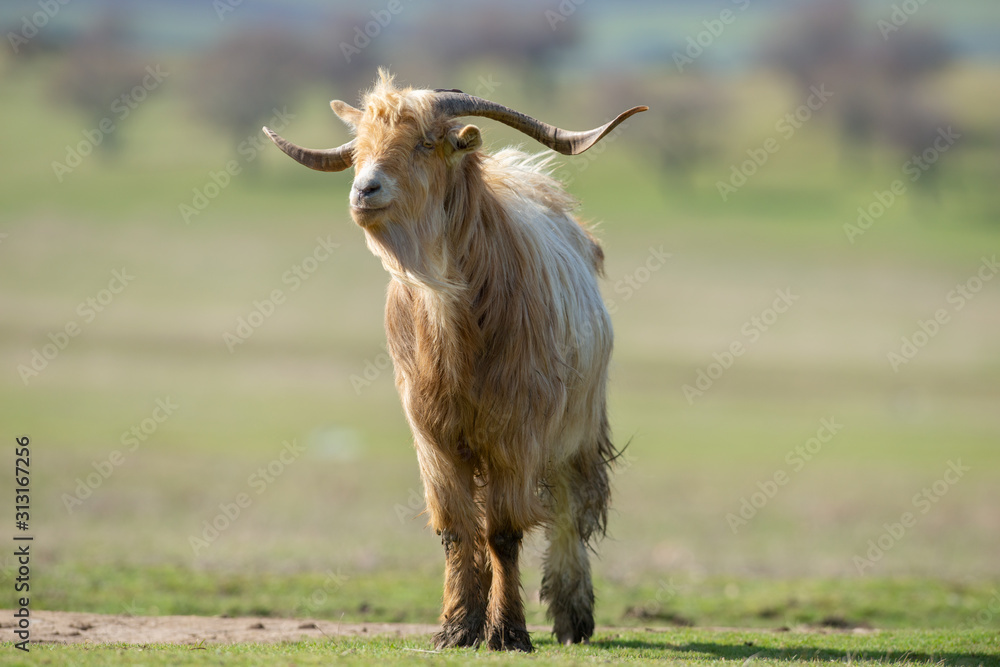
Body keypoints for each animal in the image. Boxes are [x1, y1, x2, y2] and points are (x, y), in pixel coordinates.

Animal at [264, 70, 646, 652]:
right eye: (361, 147)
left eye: (426, 142)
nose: (364, 190)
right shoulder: (433, 434)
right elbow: (456, 529)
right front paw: (457, 626)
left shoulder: (516, 431)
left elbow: (504, 532)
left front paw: (508, 631)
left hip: (576, 429)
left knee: (568, 509)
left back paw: (572, 617)